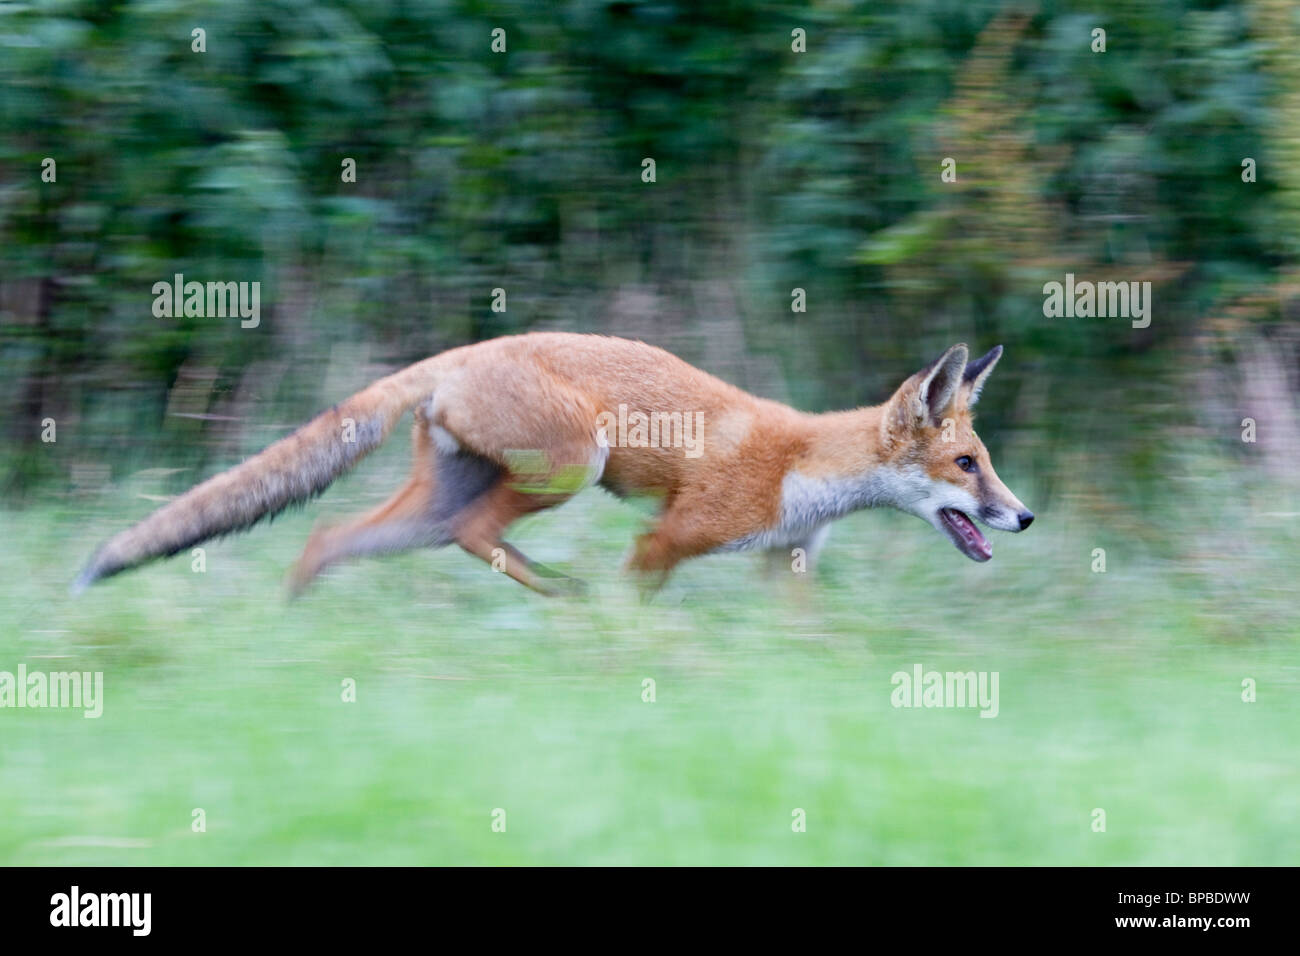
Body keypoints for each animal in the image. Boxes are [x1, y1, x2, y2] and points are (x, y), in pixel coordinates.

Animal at [76, 332, 1034, 595]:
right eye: (966, 465)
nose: (1024, 517)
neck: (806, 465)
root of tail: (466, 350)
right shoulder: (667, 540)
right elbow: (639, 609)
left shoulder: (784, 563)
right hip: (573, 465)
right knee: (477, 534)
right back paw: (563, 601)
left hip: (427, 507)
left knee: (328, 538)